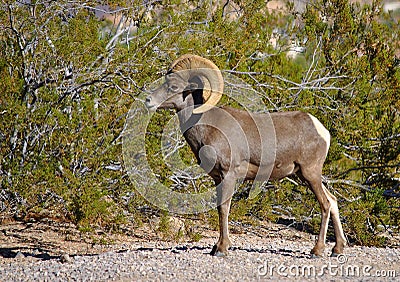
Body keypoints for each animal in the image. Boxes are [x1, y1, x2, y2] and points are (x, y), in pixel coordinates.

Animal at [145, 54, 346, 256]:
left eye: (174, 87)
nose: (148, 100)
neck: (206, 125)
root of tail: (321, 130)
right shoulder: (217, 178)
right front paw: (216, 247)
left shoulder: (228, 174)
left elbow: (224, 208)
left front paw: (222, 248)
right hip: (304, 175)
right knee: (333, 201)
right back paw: (337, 249)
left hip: (310, 173)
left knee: (325, 204)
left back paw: (317, 250)